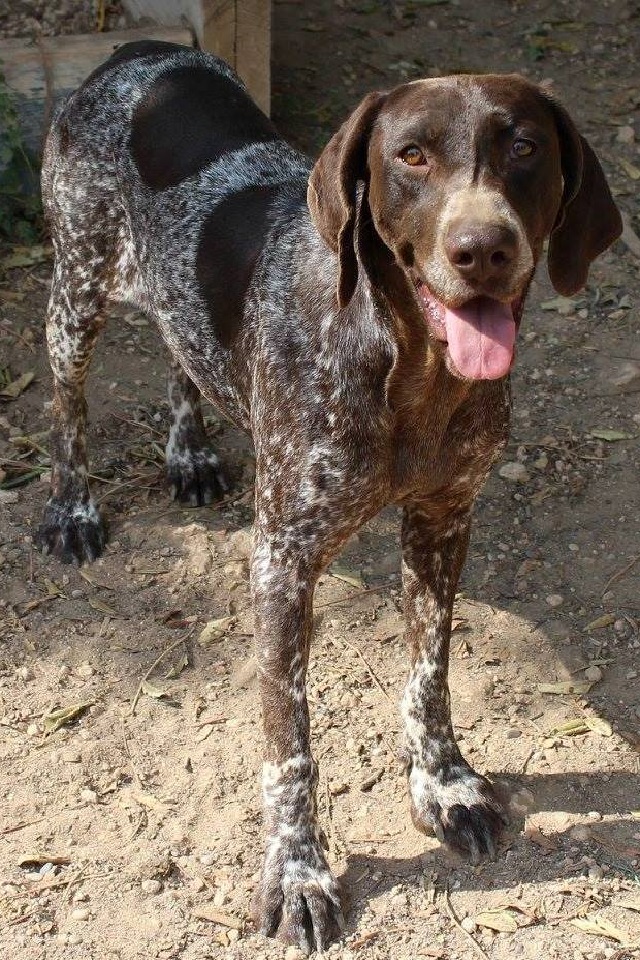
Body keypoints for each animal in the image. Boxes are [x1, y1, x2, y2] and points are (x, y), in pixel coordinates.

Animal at [35, 41, 620, 948]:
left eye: (525, 147)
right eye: (410, 156)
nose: (482, 249)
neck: (408, 367)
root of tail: (140, 52)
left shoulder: (443, 521)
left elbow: (429, 677)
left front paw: (443, 787)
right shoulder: (282, 564)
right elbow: (292, 747)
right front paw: (299, 873)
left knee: (180, 349)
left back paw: (190, 453)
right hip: (77, 290)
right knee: (67, 404)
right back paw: (72, 509)